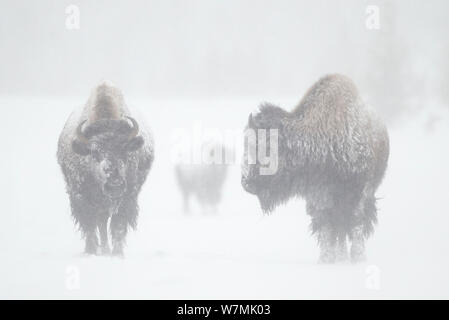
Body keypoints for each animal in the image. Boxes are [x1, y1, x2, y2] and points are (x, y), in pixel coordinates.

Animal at [57, 82, 154, 255]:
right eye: (95, 152)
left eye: (125, 151)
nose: (114, 184)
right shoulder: (81, 198)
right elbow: (90, 225)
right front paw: (90, 251)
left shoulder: (127, 198)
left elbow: (118, 226)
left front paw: (117, 253)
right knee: (100, 224)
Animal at [242, 74, 388, 262]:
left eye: (266, 146)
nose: (246, 182)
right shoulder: (319, 198)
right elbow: (326, 228)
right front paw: (325, 260)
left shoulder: (356, 194)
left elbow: (355, 226)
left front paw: (358, 259)